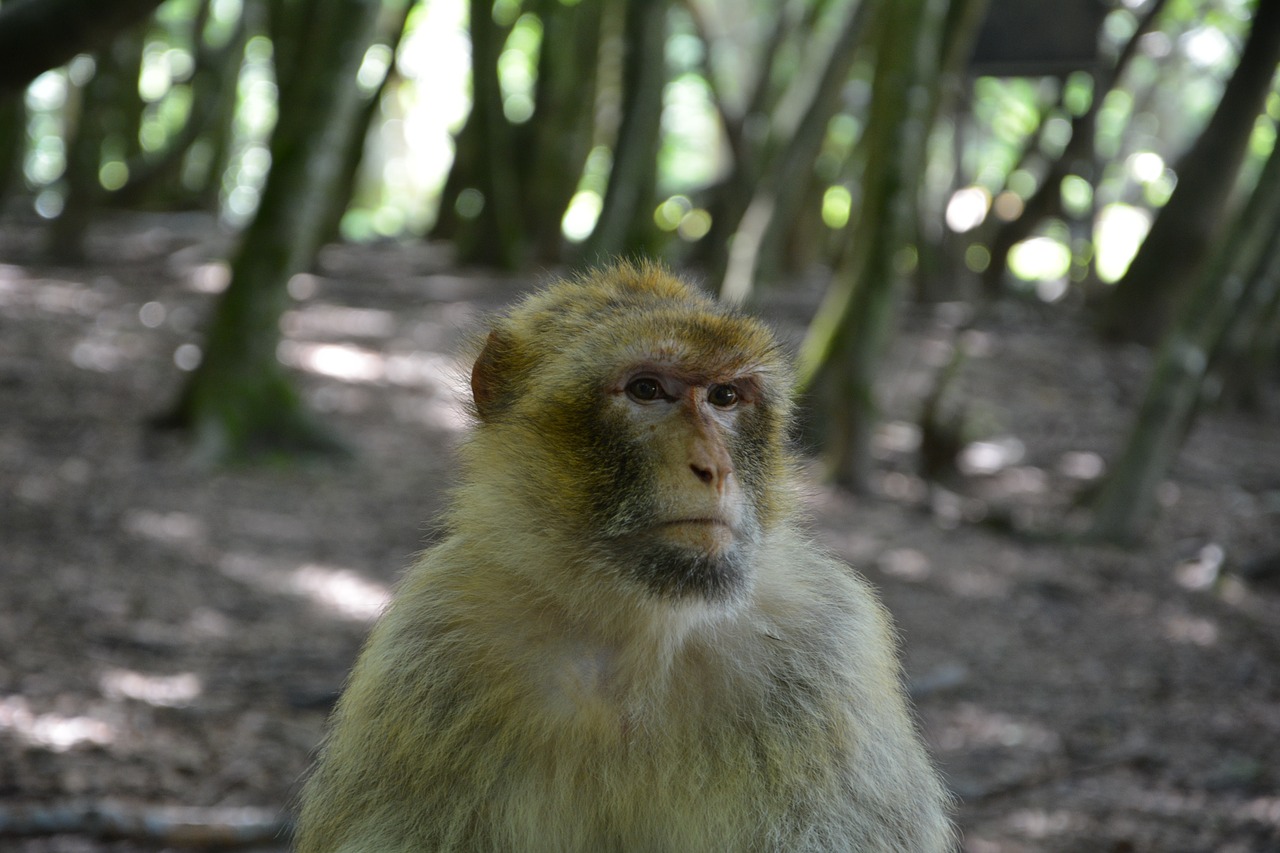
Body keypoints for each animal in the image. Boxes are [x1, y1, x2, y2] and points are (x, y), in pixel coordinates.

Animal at [290, 262, 952, 845]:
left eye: (725, 396)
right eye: (646, 389)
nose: (714, 468)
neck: (637, 624)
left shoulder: (828, 652)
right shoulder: (428, 649)